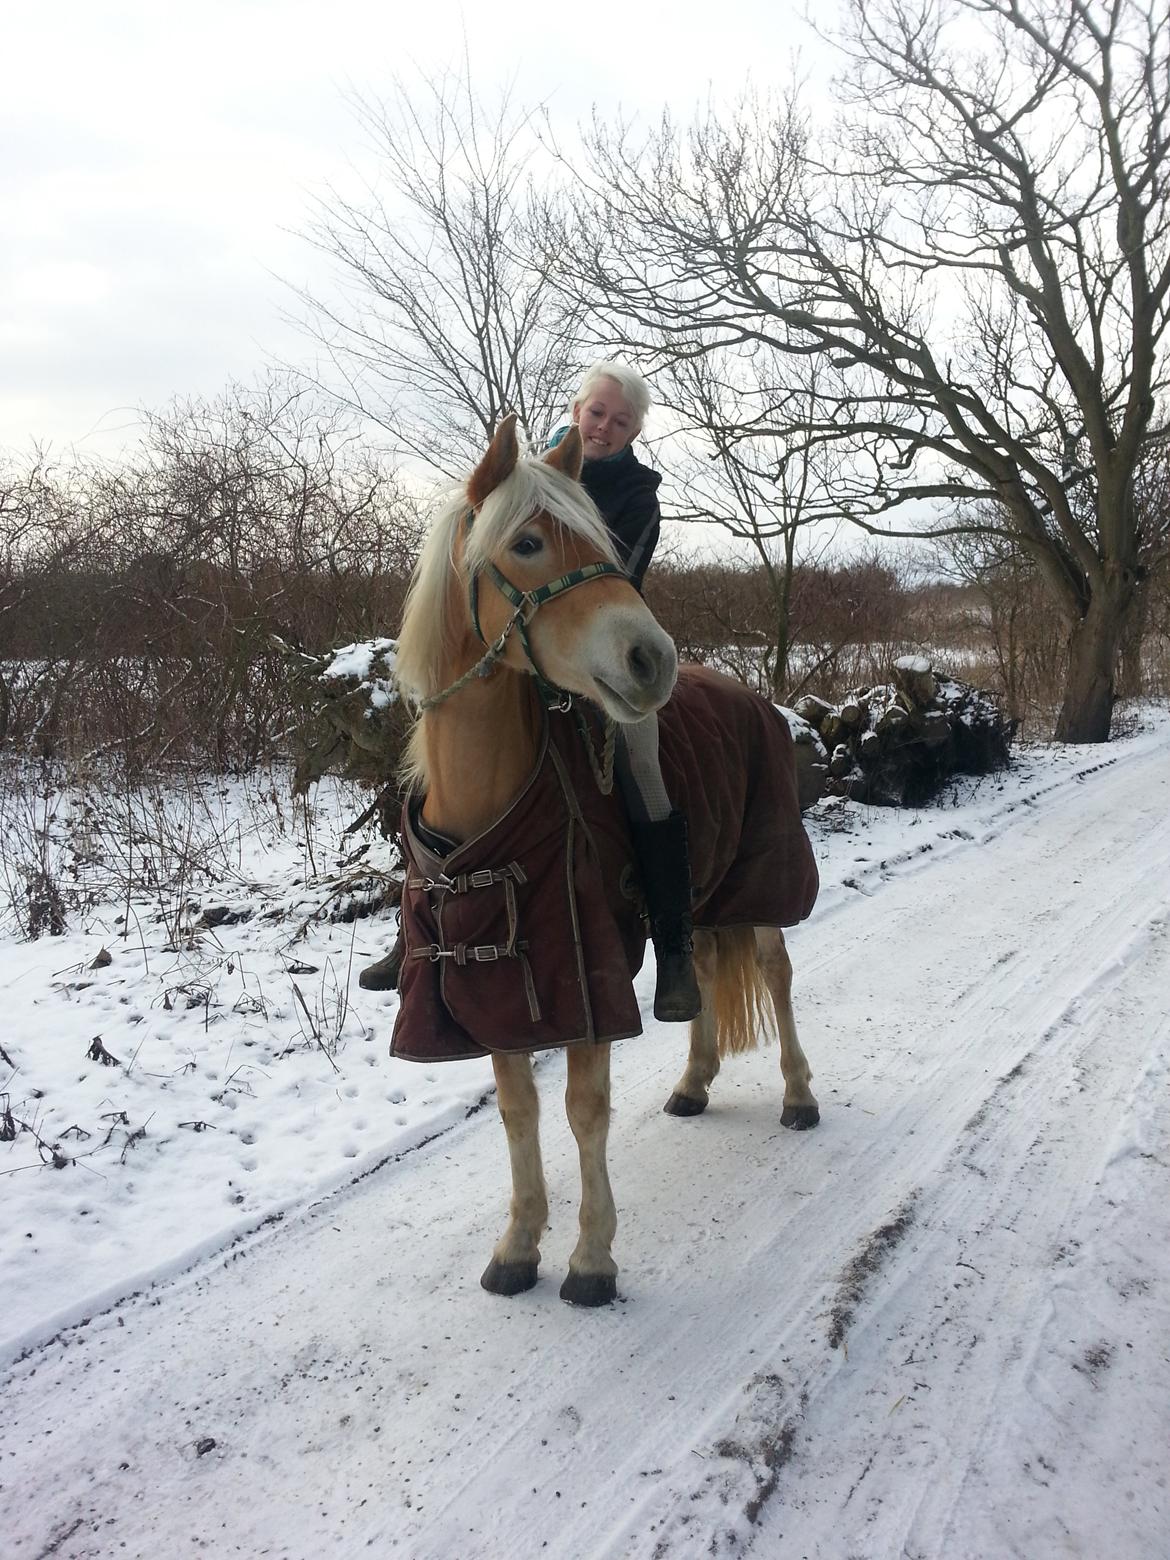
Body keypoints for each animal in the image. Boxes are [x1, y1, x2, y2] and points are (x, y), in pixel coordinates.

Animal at [390, 411, 817, 1304]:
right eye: (526, 544)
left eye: (607, 545)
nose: (650, 660)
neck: (492, 805)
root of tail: (752, 696)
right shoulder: (499, 993)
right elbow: (518, 1110)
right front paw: (519, 1245)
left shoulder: (586, 987)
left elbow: (585, 1110)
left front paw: (591, 1258)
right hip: (701, 895)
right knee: (704, 974)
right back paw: (694, 1082)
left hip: (761, 886)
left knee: (776, 972)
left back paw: (799, 1095)